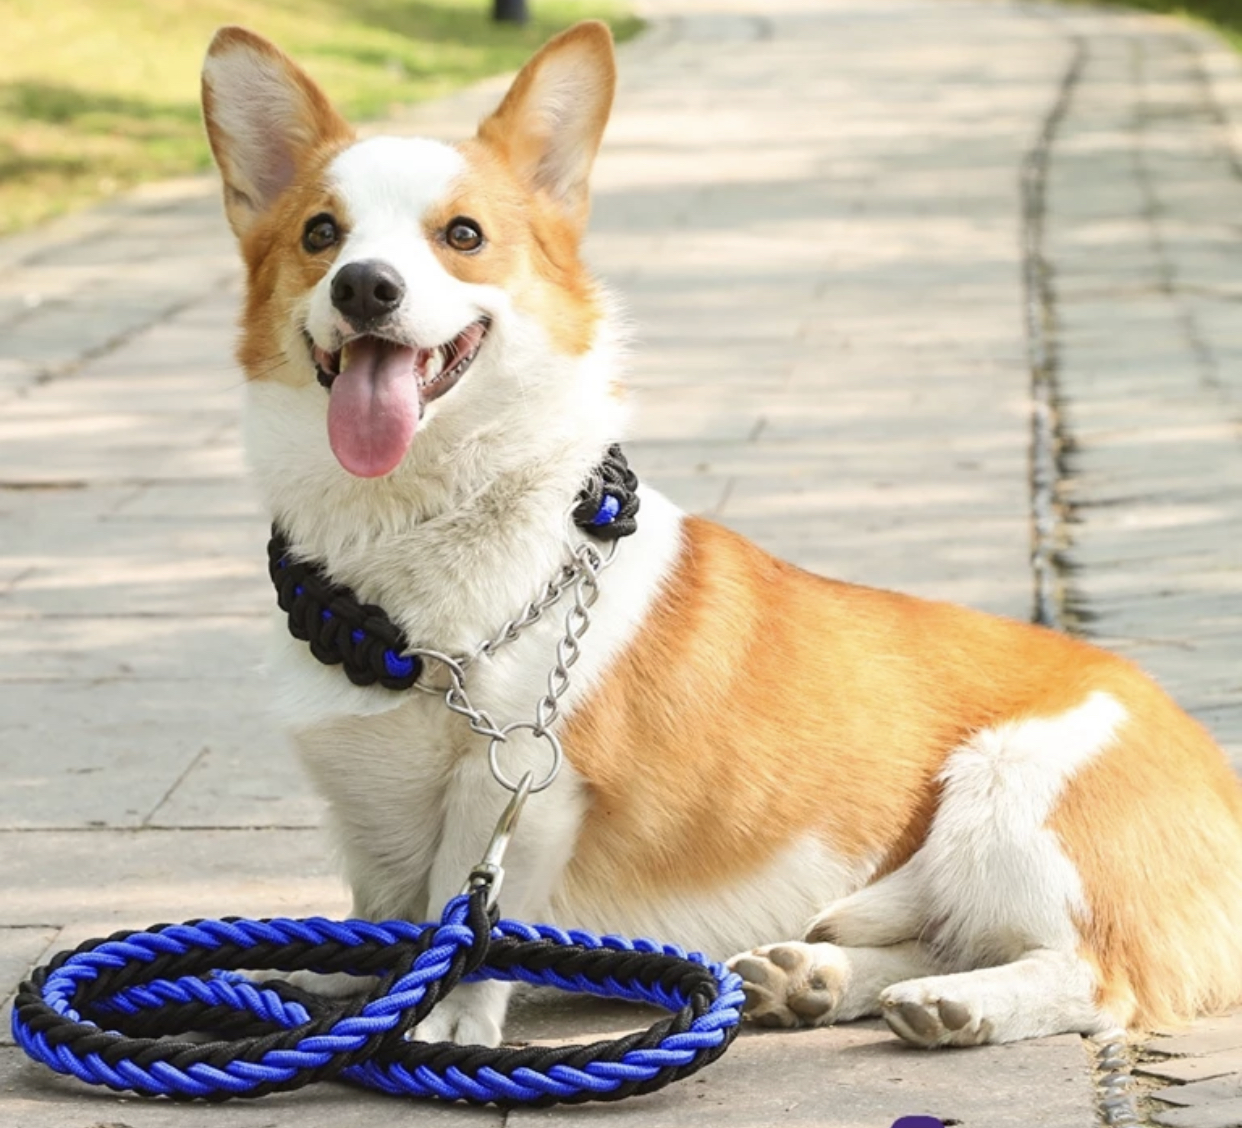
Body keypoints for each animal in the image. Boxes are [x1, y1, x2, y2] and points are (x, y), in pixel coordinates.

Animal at [198, 22, 1242, 1053]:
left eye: (463, 236)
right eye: (320, 234)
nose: (365, 287)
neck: (419, 526)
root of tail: (1209, 760)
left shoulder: (522, 789)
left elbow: (467, 916)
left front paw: (444, 1018)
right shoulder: (369, 815)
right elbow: (389, 918)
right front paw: (349, 982)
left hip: (1007, 799)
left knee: (1094, 975)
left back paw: (965, 1007)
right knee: (943, 939)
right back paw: (814, 980)